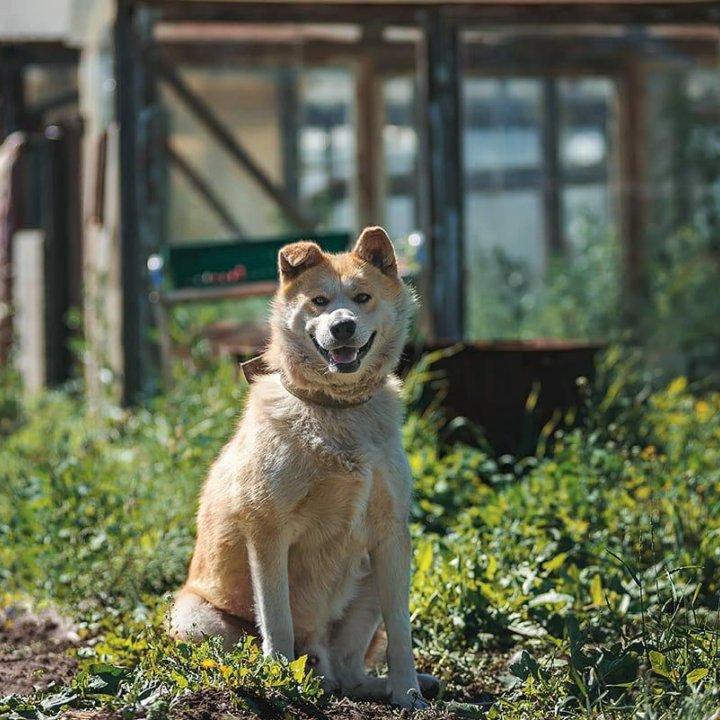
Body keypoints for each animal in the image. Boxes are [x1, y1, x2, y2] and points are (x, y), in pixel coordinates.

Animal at [169, 226, 436, 708]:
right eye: (318, 301)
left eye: (362, 297)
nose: (342, 325)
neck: (335, 409)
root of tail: (319, 661)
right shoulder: (267, 532)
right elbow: (277, 623)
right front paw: (278, 682)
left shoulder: (391, 537)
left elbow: (402, 634)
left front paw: (408, 695)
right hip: (196, 618)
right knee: (236, 655)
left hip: (369, 577)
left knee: (350, 672)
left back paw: (390, 686)